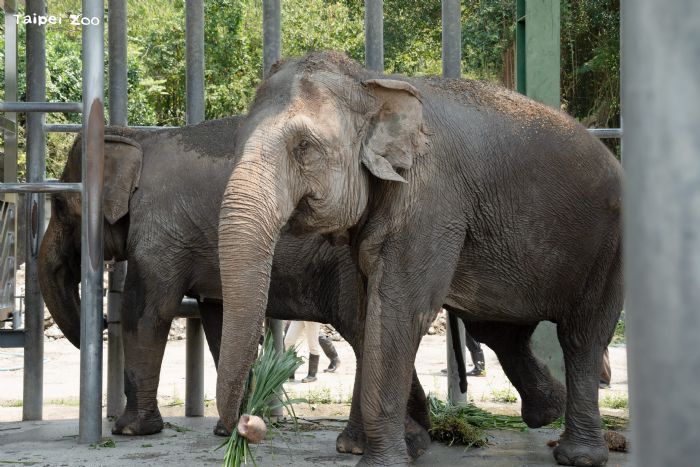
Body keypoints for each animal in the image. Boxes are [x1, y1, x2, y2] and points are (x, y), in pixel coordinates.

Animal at [37, 117, 435, 455]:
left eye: (59, 205)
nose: (104, 324)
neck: (135, 137)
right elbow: (219, 318)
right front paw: (228, 431)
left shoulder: (160, 235)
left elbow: (147, 312)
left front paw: (130, 431)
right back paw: (402, 437)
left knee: (365, 332)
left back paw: (361, 445)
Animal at [215, 51, 623, 467]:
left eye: (304, 147)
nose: (247, 425)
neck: (370, 82)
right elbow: (366, 313)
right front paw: (400, 447)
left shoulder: (430, 201)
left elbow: (399, 310)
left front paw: (383, 461)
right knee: (499, 330)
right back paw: (547, 412)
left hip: (609, 246)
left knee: (582, 336)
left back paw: (579, 455)